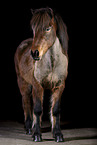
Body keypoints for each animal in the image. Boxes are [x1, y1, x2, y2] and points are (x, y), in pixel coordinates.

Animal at [14, 7, 69, 142]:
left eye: (48, 28)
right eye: (33, 29)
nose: (34, 53)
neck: (52, 63)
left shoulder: (59, 87)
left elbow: (55, 110)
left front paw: (57, 134)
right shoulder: (38, 86)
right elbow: (38, 110)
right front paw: (37, 135)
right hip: (23, 84)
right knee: (27, 103)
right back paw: (29, 128)